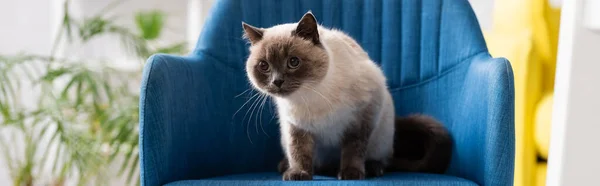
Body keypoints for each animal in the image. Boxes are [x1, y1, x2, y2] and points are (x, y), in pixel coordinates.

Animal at [241, 11, 452, 180]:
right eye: (264, 66)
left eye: (293, 62)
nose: (277, 81)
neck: (309, 95)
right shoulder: (295, 126)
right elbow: (299, 151)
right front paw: (299, 173)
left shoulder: (362, 117)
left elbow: (354, 149)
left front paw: (351, 173)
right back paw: (288, 166)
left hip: (381, 135)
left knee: (383, 158)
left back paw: (372, 169)